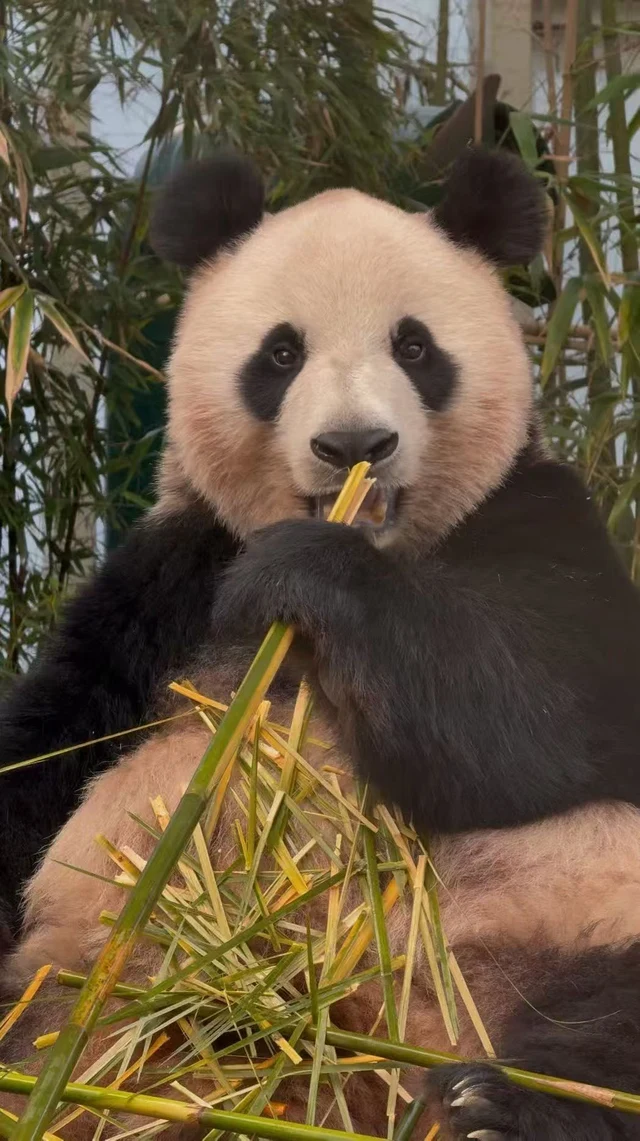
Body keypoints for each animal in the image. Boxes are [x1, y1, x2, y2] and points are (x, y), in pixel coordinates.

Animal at [2, 147, 640, 1141]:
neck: (385, 542)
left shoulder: (539, 523)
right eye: (281, 353)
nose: (354, 444)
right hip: (94, 986)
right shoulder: (169, 583)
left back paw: (495, 1104)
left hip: (577, 909)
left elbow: (536, 723)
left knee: (608, 1029)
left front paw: (309, 573)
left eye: (415, 348)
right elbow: (48, 746)